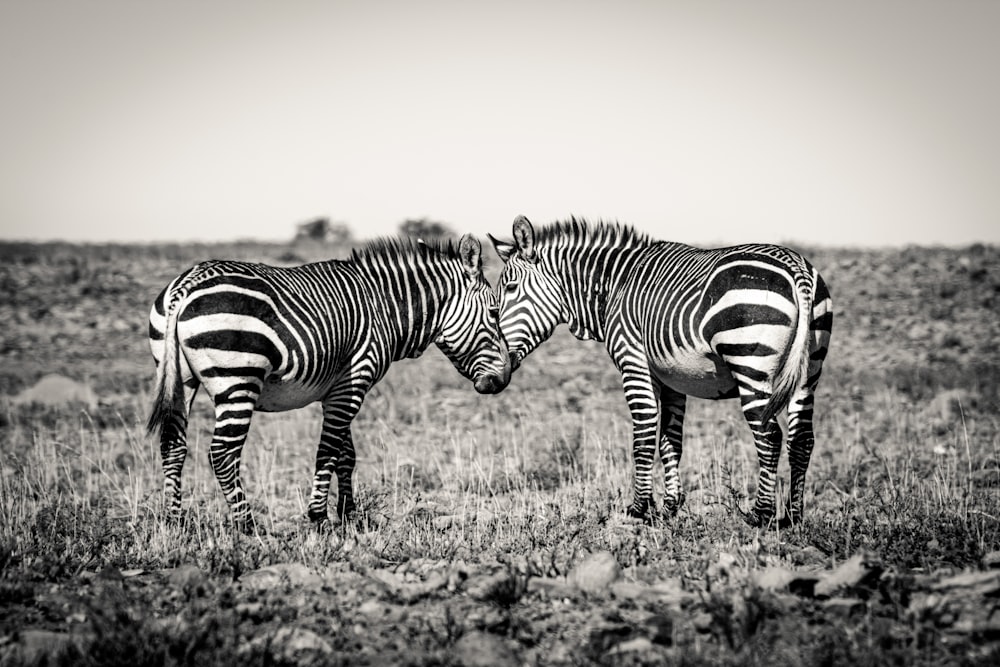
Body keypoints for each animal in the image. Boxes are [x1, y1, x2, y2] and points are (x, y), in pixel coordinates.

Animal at [146, 235, 516, 532]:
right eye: (495, 312)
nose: (502, 380)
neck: (384, 308)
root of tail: (187, 283)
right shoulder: (353, 383)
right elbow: (327, 452)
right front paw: (319, 517)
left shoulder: (340, 389)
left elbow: (345, 454)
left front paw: (349, 514)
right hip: (237, 380)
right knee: (223, 452)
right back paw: (247, 525)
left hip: (180, 379)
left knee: (173, 444)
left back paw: (173, 520)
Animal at [488, 217, 832, 528]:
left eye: (510, 288)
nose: (496, 371)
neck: (614, 285)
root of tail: (796, 267)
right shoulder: (672, 379)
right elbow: (670, 441)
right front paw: (670, 506)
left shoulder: (634, 362)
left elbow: (643, 436)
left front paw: (639, 508)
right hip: (809, 369)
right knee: (802, 439)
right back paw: (794, 516)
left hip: (749, 359)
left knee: (770, 435)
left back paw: (761, 514)